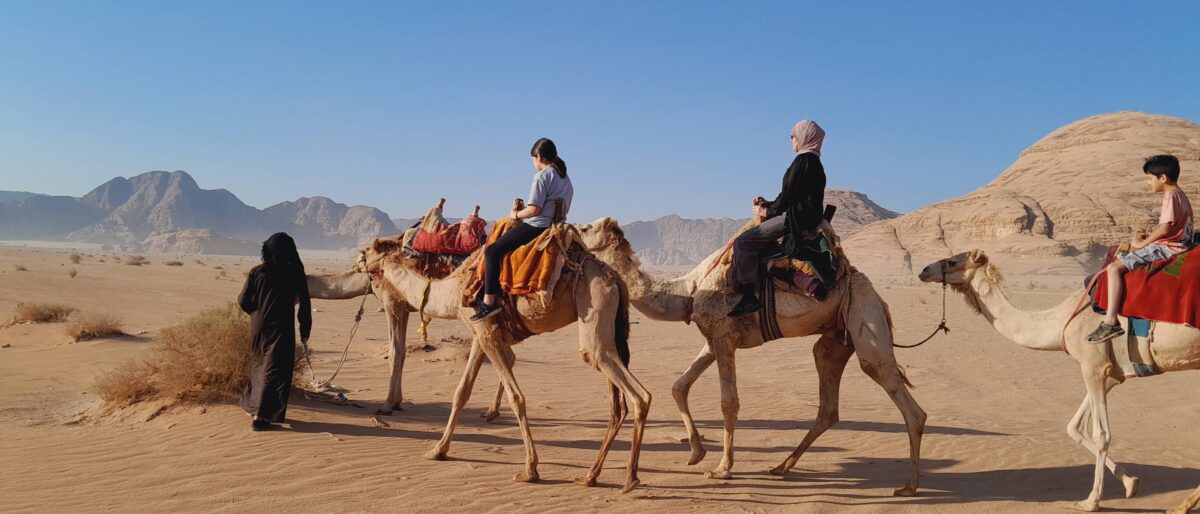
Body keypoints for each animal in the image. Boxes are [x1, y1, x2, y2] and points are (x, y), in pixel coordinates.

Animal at [339, 236, 652, 493]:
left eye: (365, 251)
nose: (355, 263)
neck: (451, 292)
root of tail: (615, 279)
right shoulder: (480, 334)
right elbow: (461, 393)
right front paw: (438, 450)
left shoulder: (486, 332)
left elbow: (516, 397)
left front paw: (530, 470)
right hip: (609, 330)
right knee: (617, 405)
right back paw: (590, 476)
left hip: (594, 314)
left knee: (638, 395)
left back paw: (630, 479)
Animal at [575, 217, 927, 496]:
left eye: (584, 228)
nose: (569, 229)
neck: (688, 291)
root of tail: (874, 293)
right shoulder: (713, 339)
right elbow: (679, 386)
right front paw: (696, 452)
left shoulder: (724, 339)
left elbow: (728, 403)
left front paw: (722, 468)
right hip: (835, 340)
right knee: (828, 405)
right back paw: (782, 467)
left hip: (865, 319)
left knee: (903, 400)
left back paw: (910, 485)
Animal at [919, 250, 1200, 513]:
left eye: (953, 261)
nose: (924, 270)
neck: (1063, 320)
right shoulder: (1110, 373)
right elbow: (1074, 427)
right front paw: (1131, 483)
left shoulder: (1093, 365)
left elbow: (1101, 434)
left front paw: (1091, 501)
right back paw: (1182, 505)